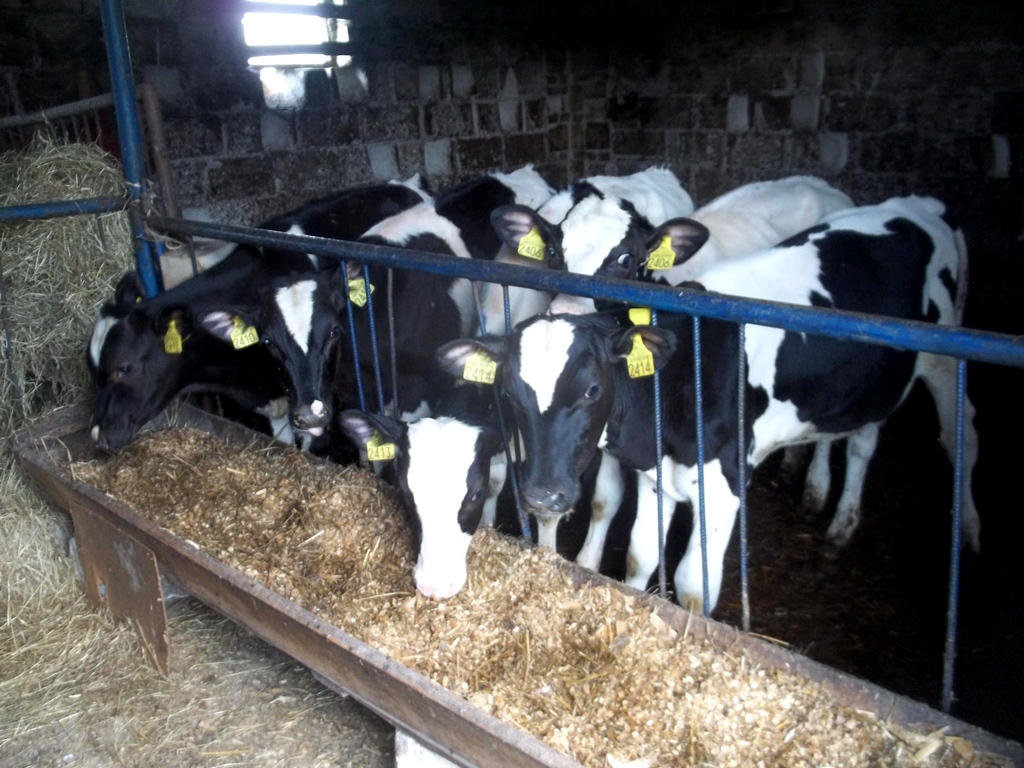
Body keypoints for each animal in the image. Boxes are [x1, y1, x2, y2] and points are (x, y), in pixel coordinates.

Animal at [439, 196, 980, 615]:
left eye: (628, 259)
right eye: (554, 252)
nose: (542, 496)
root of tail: (919, 204)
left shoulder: (723, 488)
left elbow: (693, 586)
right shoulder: (655, 477)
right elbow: (639, 555)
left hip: (943, 362)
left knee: (963, 437)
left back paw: (968, 532)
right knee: (862, 437)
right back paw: (835, 512)